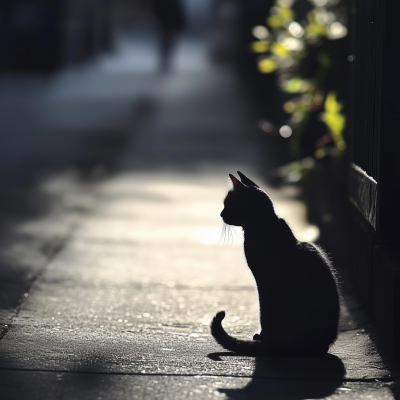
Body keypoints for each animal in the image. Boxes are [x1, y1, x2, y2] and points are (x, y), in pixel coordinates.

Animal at [211, 172, 340, 356]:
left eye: (228, 204)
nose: (221, 214)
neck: (264, 224)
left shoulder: (263, 280)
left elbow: (263, 311)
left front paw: (262, 335)